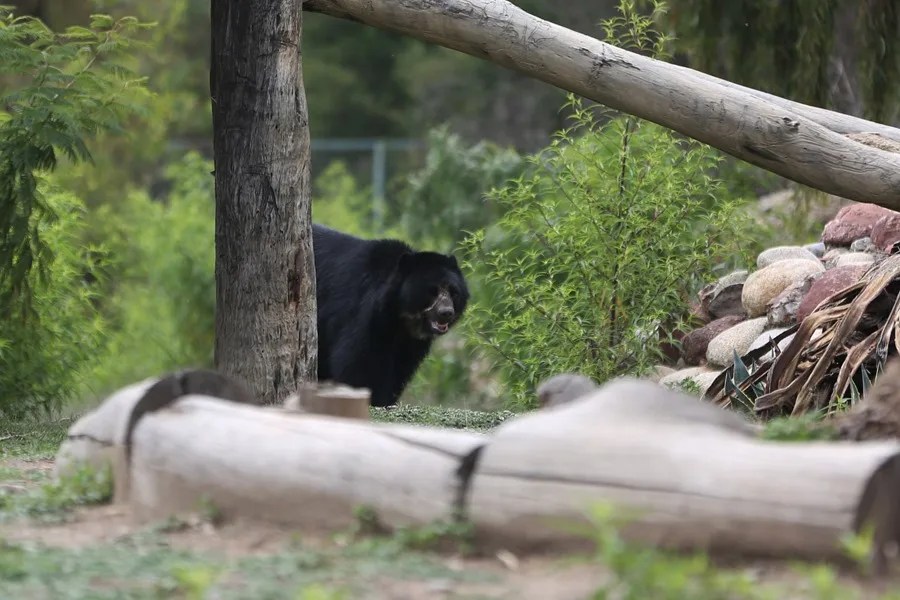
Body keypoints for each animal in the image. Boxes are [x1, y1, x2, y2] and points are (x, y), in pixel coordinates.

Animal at [312, 223, 469, 407]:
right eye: (432, 291)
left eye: (453, 292)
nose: (446, 313)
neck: (400, 317)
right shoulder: (362, 316)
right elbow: (357, 363)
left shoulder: (410, 343)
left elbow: (399, 371)